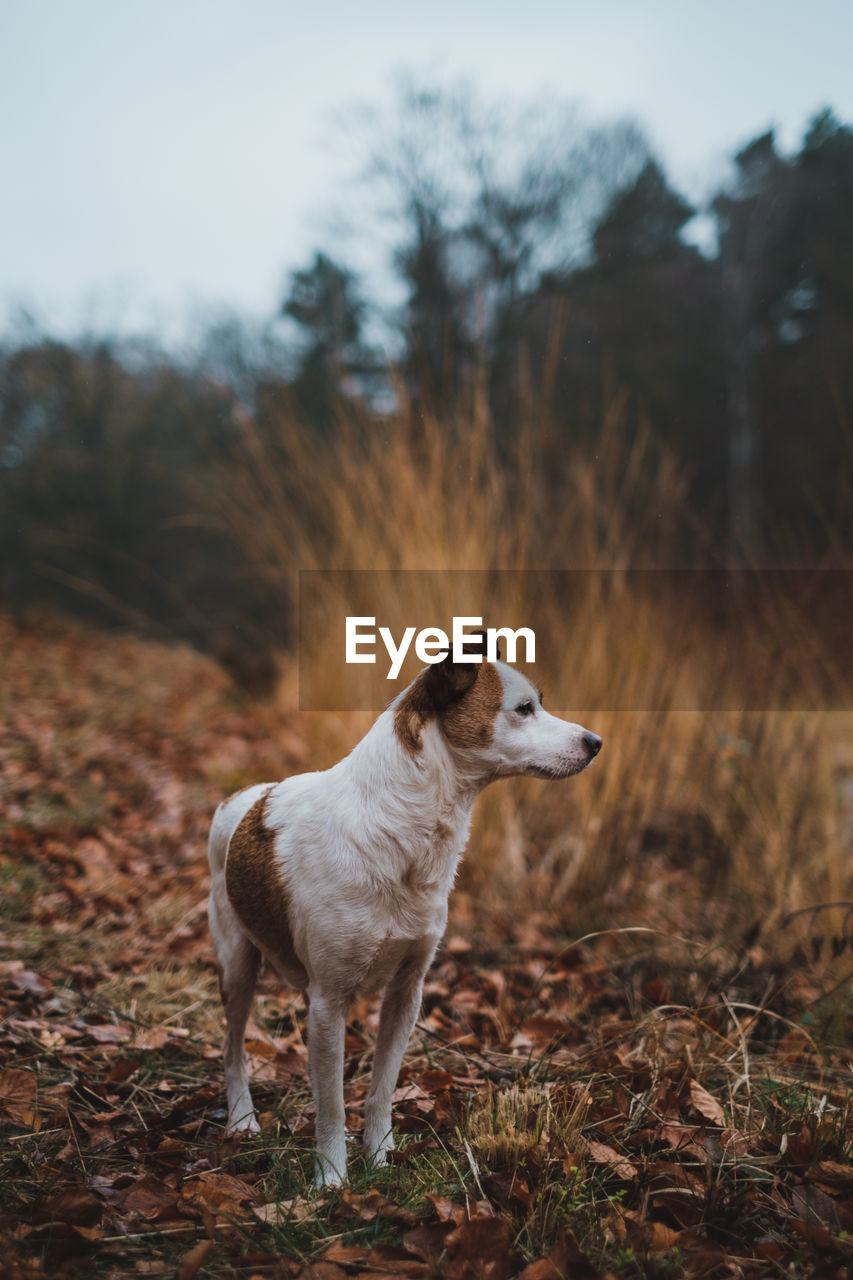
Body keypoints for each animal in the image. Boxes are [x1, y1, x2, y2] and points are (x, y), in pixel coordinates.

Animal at [207, 634, 596, 1182]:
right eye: (524, 709)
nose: (595, 742)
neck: (398, 829)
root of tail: (240, 799)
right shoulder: (329, 1000)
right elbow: (331, 1105)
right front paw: (332, 1178)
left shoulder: (406, 992)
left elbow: (381, 1089)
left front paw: (381, 1157)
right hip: (238, 964)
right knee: (233, 1046)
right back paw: (242, 1119)